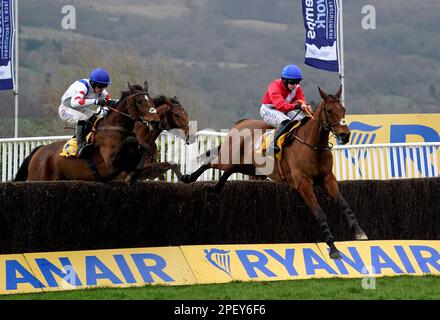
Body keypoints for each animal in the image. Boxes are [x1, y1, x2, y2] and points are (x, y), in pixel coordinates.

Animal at [13, 82, 162, 182]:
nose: (155, 121)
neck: (115, 127)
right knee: (81, 119)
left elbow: (143, 148)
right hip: (38, 178)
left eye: (152, 101)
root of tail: (39, 150)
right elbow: (131, 141)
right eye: (139, 101)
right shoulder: (109, 163)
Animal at [180, 85, 370, 260]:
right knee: (210, 163)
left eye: (343, 110)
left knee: (226, 173)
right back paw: (188, 177)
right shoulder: (303, 183)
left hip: (247, 166)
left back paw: (213, 188)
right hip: (229, 159)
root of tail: (240, 123)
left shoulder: (327, 179)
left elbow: (345, 204)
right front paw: (333, 248)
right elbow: (320, 214)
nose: (345, 136)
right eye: (330, 111)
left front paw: (359, 232)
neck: (312, 145)